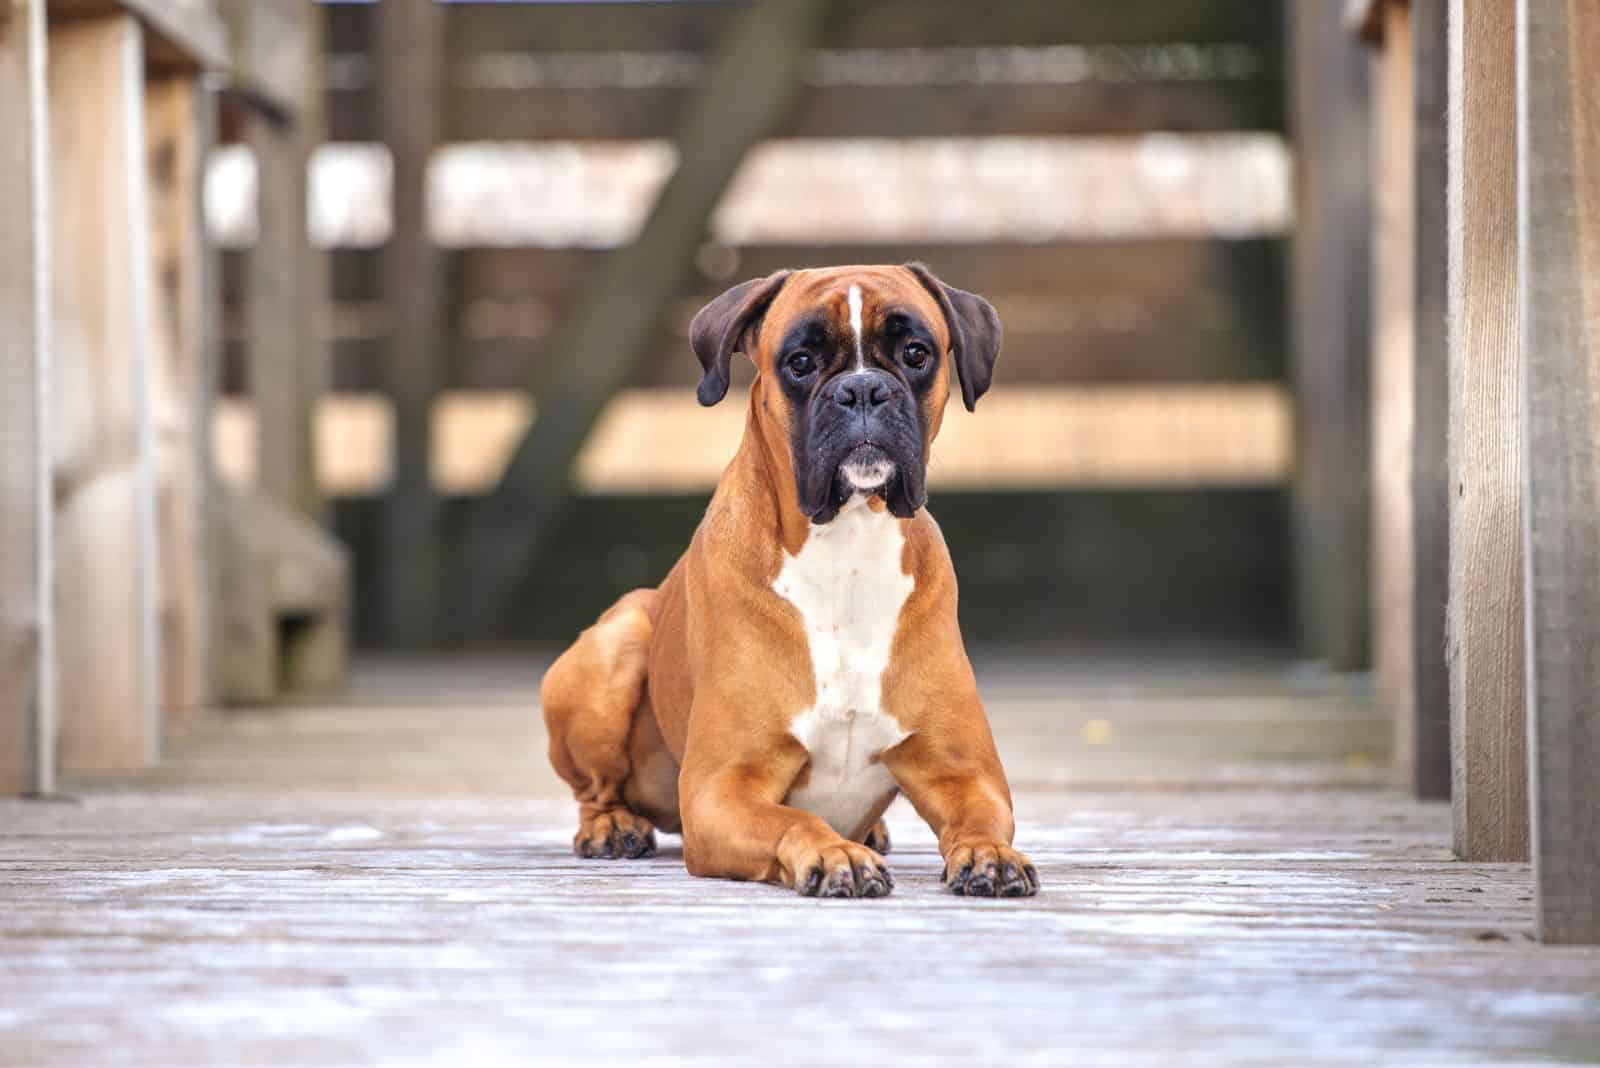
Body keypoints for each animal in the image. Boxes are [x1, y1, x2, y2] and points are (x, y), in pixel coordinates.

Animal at [540, 262, 1036, 895]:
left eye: (916, 353)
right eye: (800, 361)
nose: (863, 389)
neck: (848, 544)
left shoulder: (966, 774)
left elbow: (981, 817)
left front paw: (987, 852)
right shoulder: (721, 791)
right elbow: (791, 819)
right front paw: (835, 853)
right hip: (614, 644)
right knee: (595, 788)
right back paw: (611, 827)